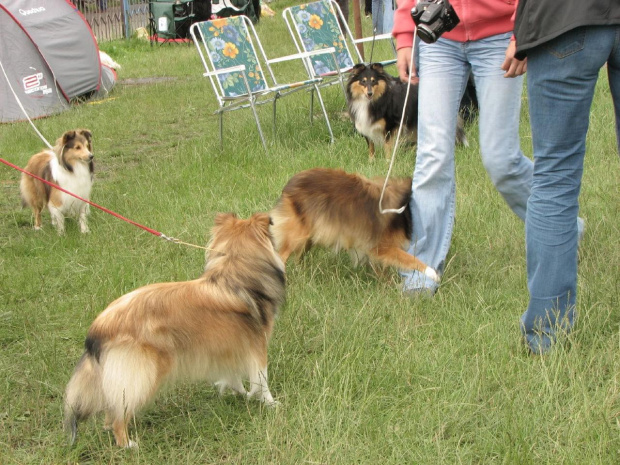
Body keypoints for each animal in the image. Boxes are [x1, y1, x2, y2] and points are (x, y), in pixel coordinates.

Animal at [63, 212, 286, 448]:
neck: (235, 270)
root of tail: (98, 328)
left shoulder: (227, 347)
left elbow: (231, 375)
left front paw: (239, 393)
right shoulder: (257, 345)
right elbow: (262, 380)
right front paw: (271, 404)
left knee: (112, 405)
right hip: (144, 374)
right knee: (119, 413)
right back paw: (127, 444)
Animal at [272, 168, 440, 282]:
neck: (405, 206)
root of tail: (289, 186)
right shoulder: (382, 246)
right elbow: (410, 259)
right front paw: (432, 273)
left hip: (310, 234)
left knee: (298, 256)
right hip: (297, 234)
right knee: (282, 256)